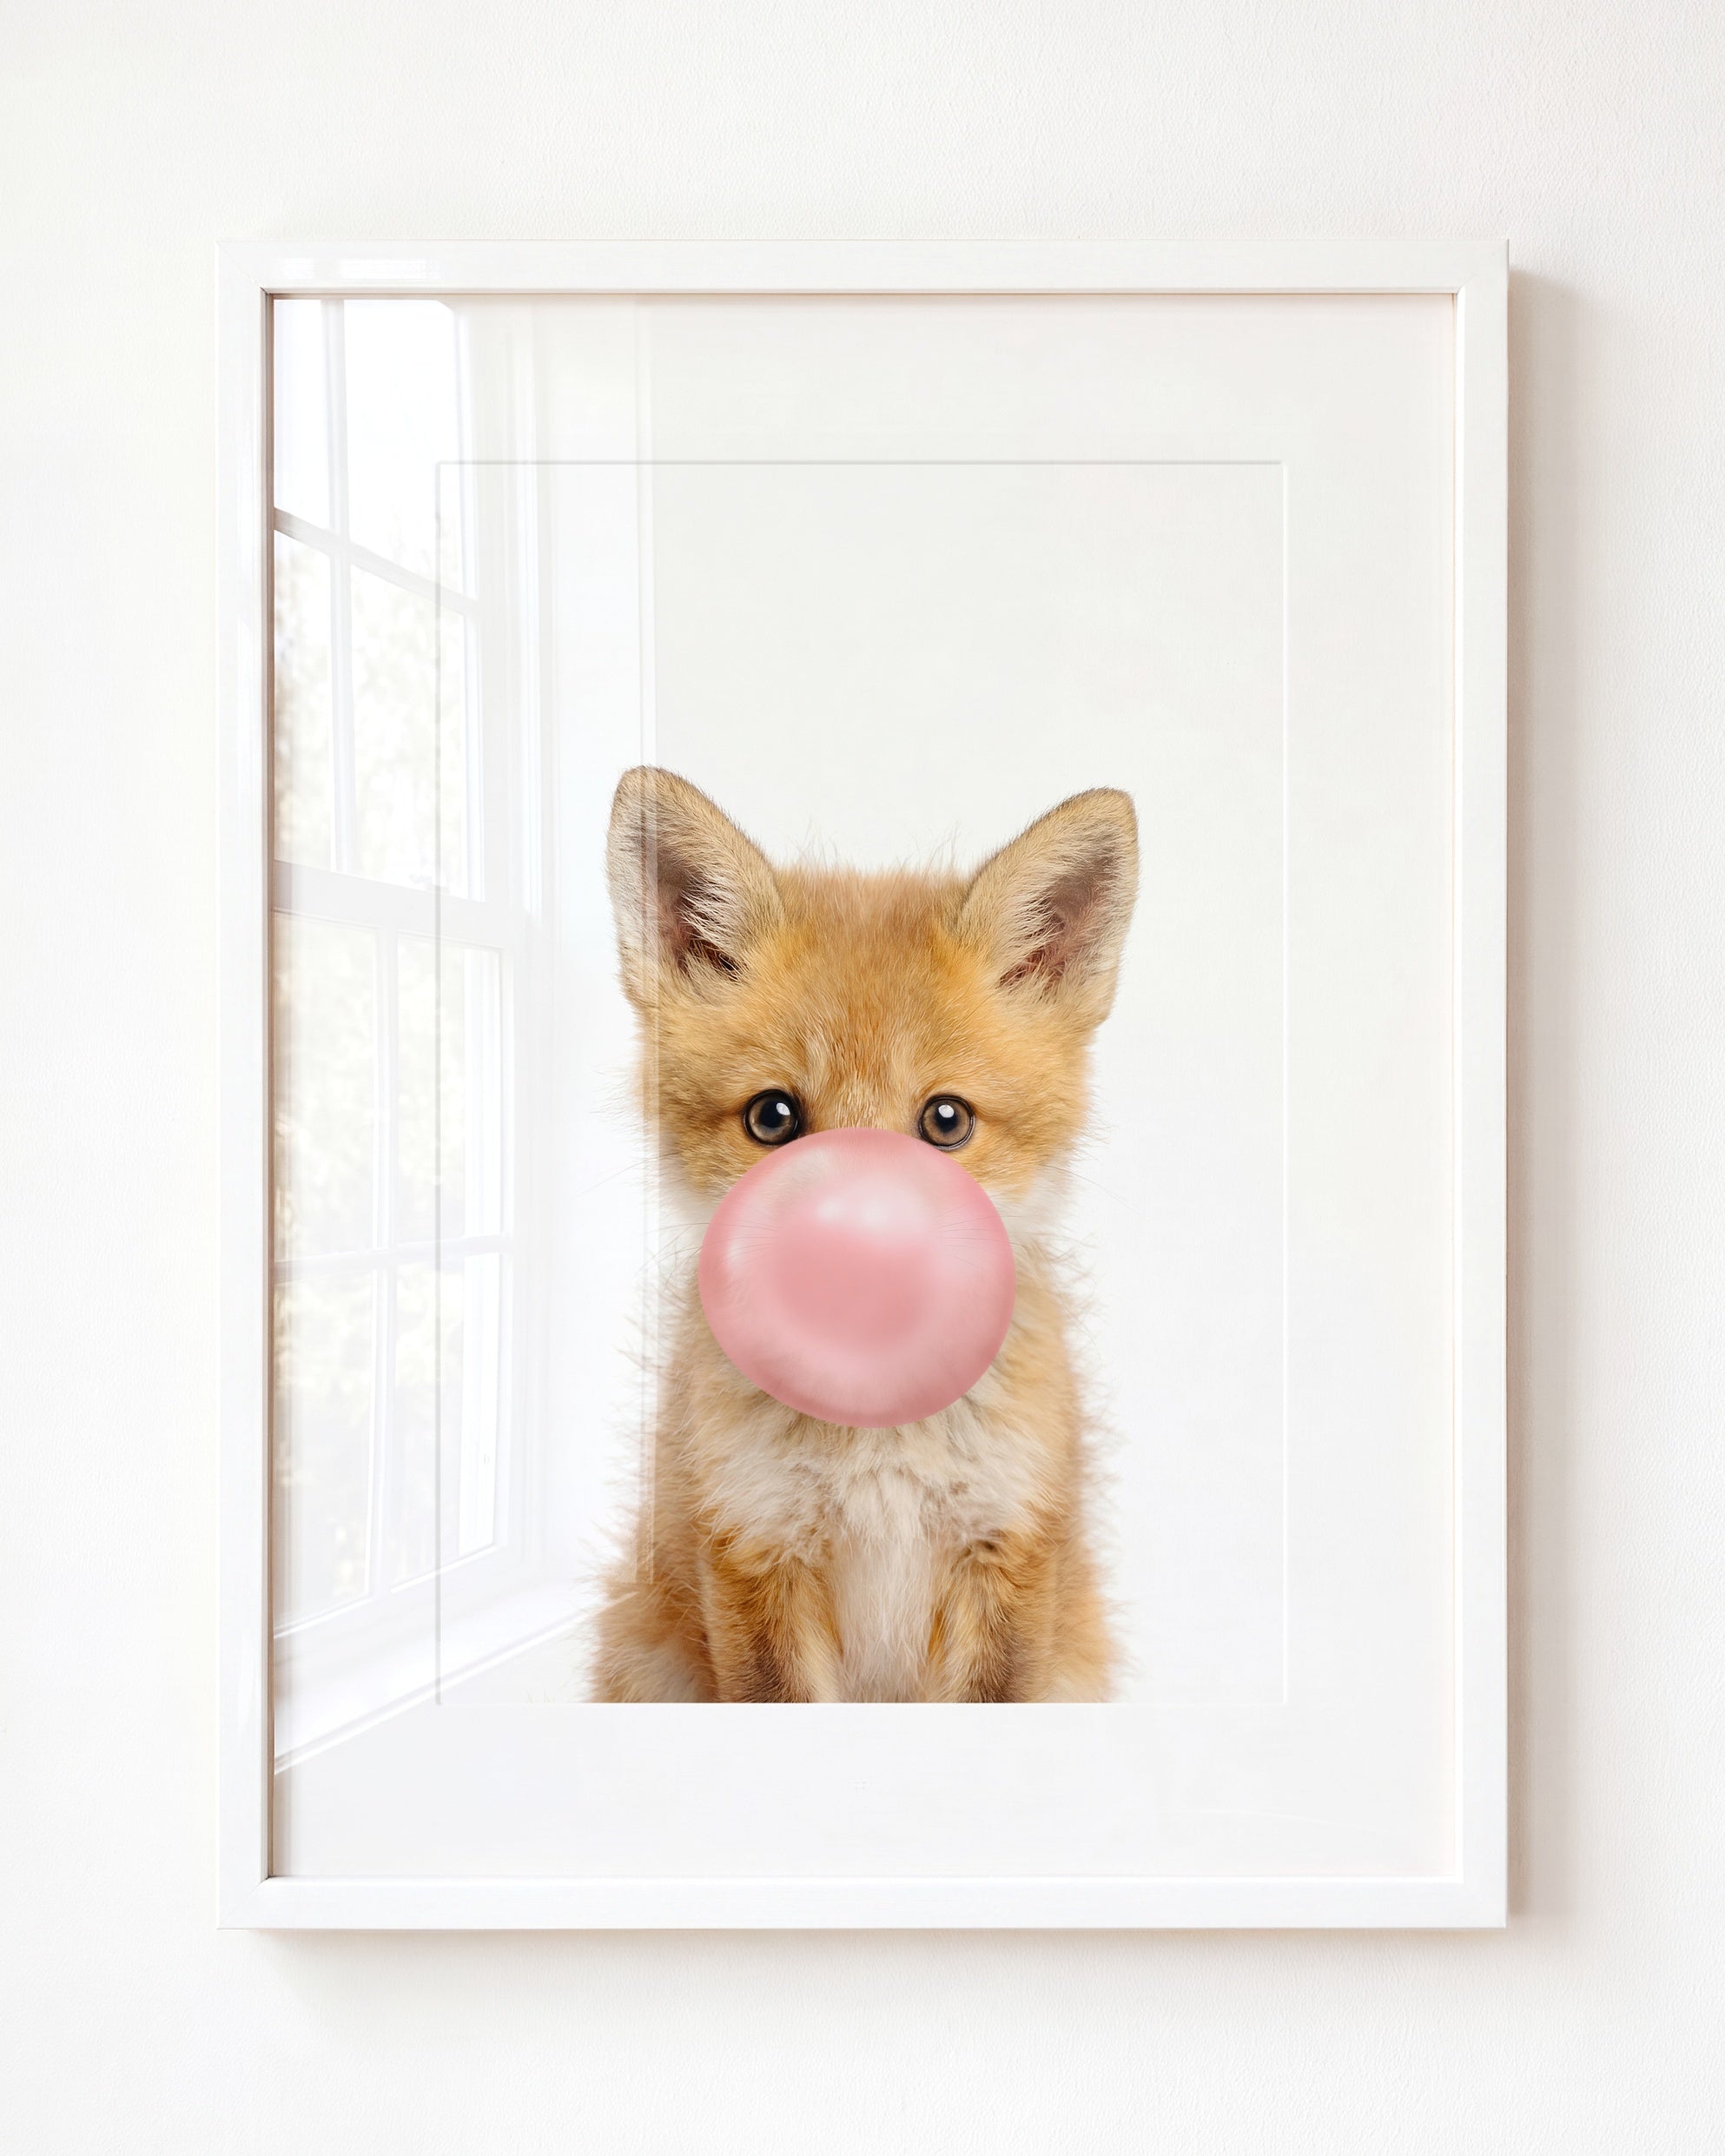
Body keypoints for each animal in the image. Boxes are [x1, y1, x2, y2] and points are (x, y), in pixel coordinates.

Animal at [590, 765, 1139, 1703]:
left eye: (946, 1121)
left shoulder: (1007, 1552)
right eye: (773, 1117)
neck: (877, 1445)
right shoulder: (753, 1550)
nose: (854, 1254)